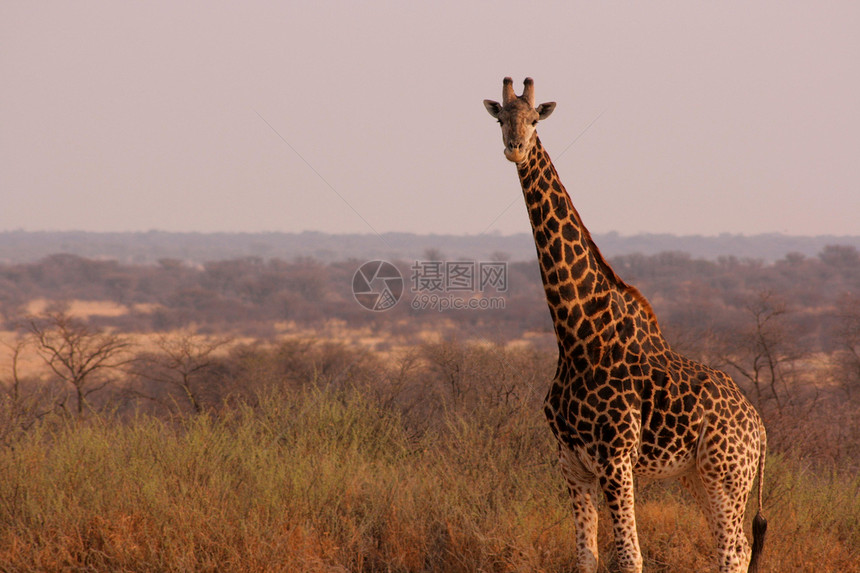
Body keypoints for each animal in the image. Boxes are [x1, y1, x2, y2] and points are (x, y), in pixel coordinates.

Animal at [480, 78, 768, 572]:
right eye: (501, 118)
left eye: (535, 119)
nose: (515, 148)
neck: (577, 336)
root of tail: (760, 428)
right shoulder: (571, 463)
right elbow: (586, 557)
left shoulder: (616, 461)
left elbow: (631, 558)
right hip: (697, 476)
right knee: (736, 548)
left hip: (727, 474)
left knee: (733, 551)